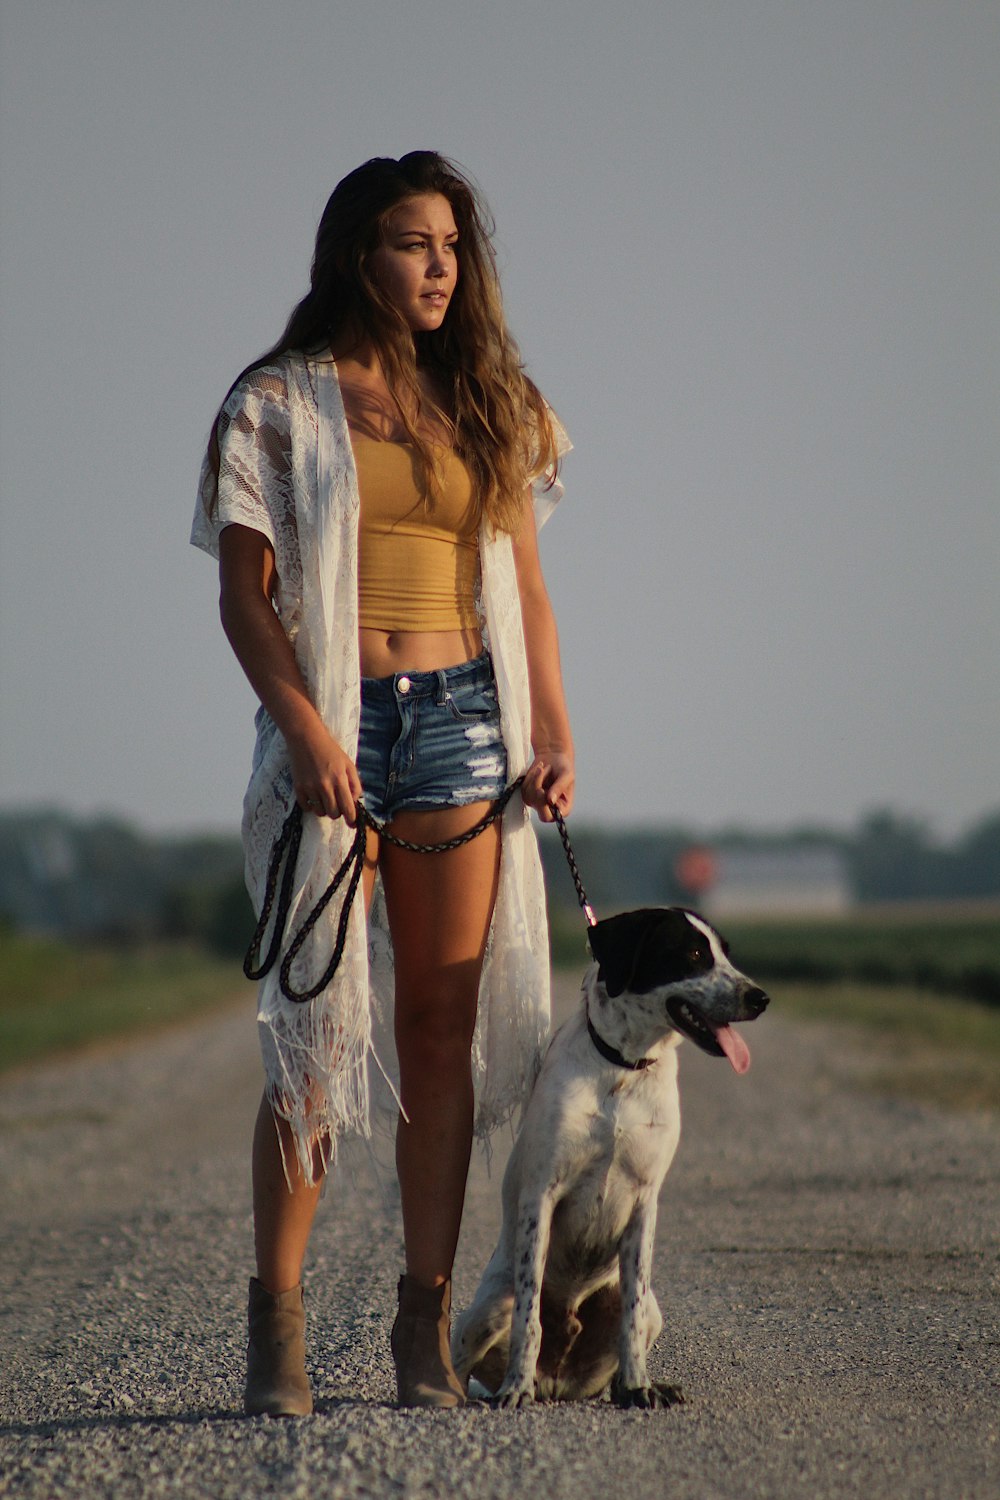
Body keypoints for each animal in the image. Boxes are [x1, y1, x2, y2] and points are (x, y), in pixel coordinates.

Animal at [455, 906, 773, 1410]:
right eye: (693, 954)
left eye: (724, 952)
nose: (760, 998)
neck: (624, 1067)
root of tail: (557, 1382)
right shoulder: (540, 1196)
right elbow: (529, 1316)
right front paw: (515, 1387)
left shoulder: (645, 1201)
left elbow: (631, 1320)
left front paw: (639, 1386)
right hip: (486, 1308)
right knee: (471, 1351)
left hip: (652, 1312)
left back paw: (640, 1386)